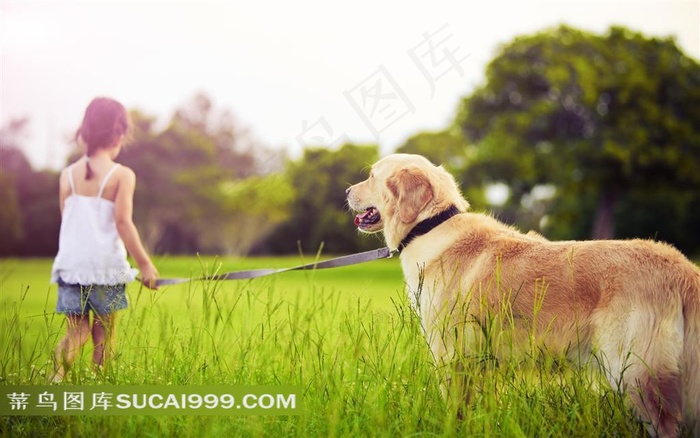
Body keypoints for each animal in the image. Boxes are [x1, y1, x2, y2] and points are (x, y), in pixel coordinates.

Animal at [346, 152, 700, 436]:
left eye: (372, 176)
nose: (347, 191)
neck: (430, 225)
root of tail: (683, 268)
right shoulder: (479, 363)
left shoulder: (450, 354)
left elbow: (454, 410)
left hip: (636, 374)